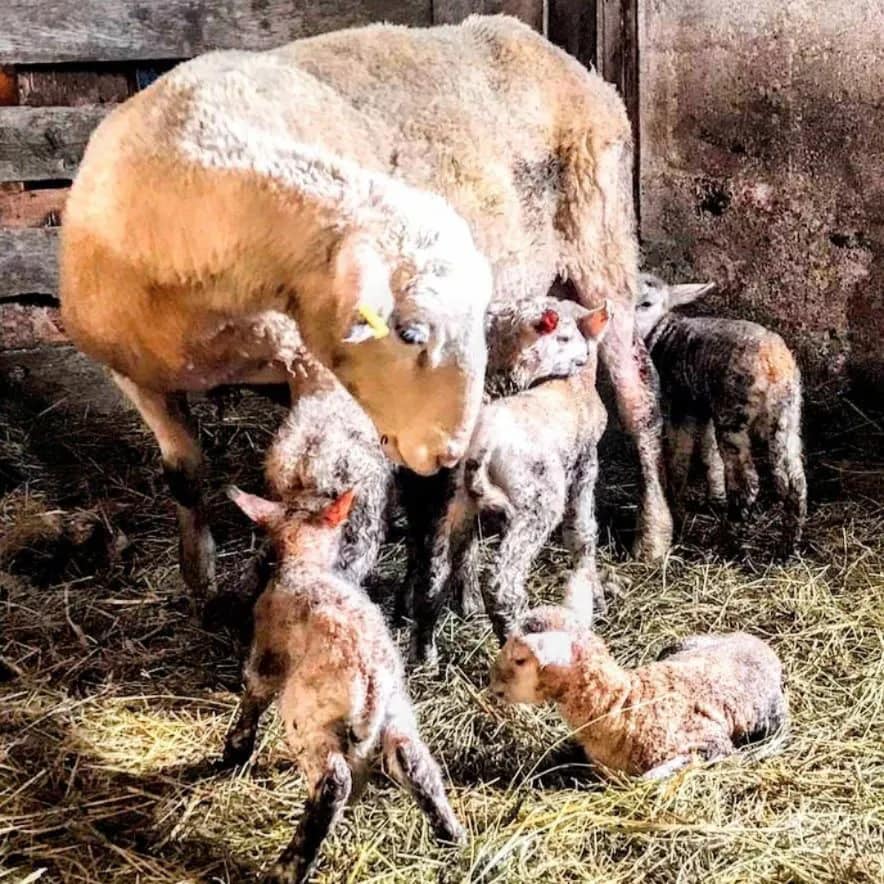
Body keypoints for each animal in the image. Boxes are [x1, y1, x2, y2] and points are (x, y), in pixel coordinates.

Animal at [222, 487, 464, 883]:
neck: (305, 562)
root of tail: (370, 683)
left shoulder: (268, 653)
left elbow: (254, 691)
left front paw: (236, 750)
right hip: (396, 709)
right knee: (414, 761)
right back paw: (450, 834)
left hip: (309, 716)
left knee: (333, 783)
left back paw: (288, 868)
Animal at [411, 302, 613, 664]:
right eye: (562, 336)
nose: (579, 358)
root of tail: (483, 446)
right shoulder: (586, 465)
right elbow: (582, 533)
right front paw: (596, 593)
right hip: (536, 503)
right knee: (502, 584)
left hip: (456, 500)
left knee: (435, 573)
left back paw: (426, 655)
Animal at [490, 606, 788, 779]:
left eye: (520, 659)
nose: (492, 687)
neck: (625, 705)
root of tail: (762, 645)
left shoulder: (712, 744)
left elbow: (647, 779)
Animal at [636, 273, 807, 553]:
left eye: (646, 303)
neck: (662, 334)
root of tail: (773, 363)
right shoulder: (703, 406)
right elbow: (709, 452)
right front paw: (715, 496)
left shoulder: (680, 404)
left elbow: (679, 456)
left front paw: (677, 506)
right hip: (788, 414)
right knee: (795, 480)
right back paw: (789, 544)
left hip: (733, 413)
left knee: (747, 482)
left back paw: (725, 540)